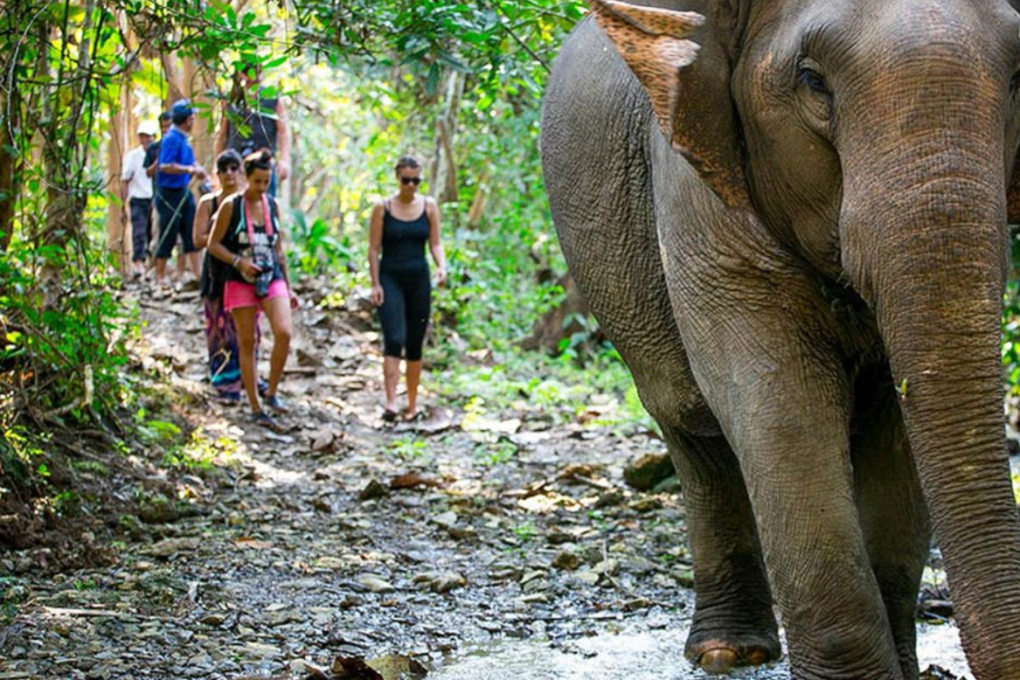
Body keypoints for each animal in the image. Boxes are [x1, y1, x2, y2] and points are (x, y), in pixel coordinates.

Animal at [541, 0, 1020, 678]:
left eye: (1018, 78)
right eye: (812, 79)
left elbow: (897, 426)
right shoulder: (696, 180)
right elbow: (780, 403)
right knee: (691, 423)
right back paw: (728, 652)